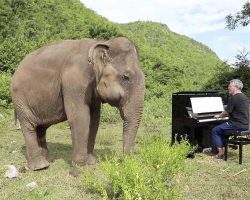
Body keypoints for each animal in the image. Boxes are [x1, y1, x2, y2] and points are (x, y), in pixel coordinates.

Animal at [11, 36, 145, 170]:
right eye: (126, 77)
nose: (122, 159)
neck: (102, 42)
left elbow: (95, 119)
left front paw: (91, 162)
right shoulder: (74, 81)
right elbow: (81, 117)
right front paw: (80, 166)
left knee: (41, 128)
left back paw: (49, 160)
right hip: (20, 99)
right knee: (29, 126)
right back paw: (40, 166)